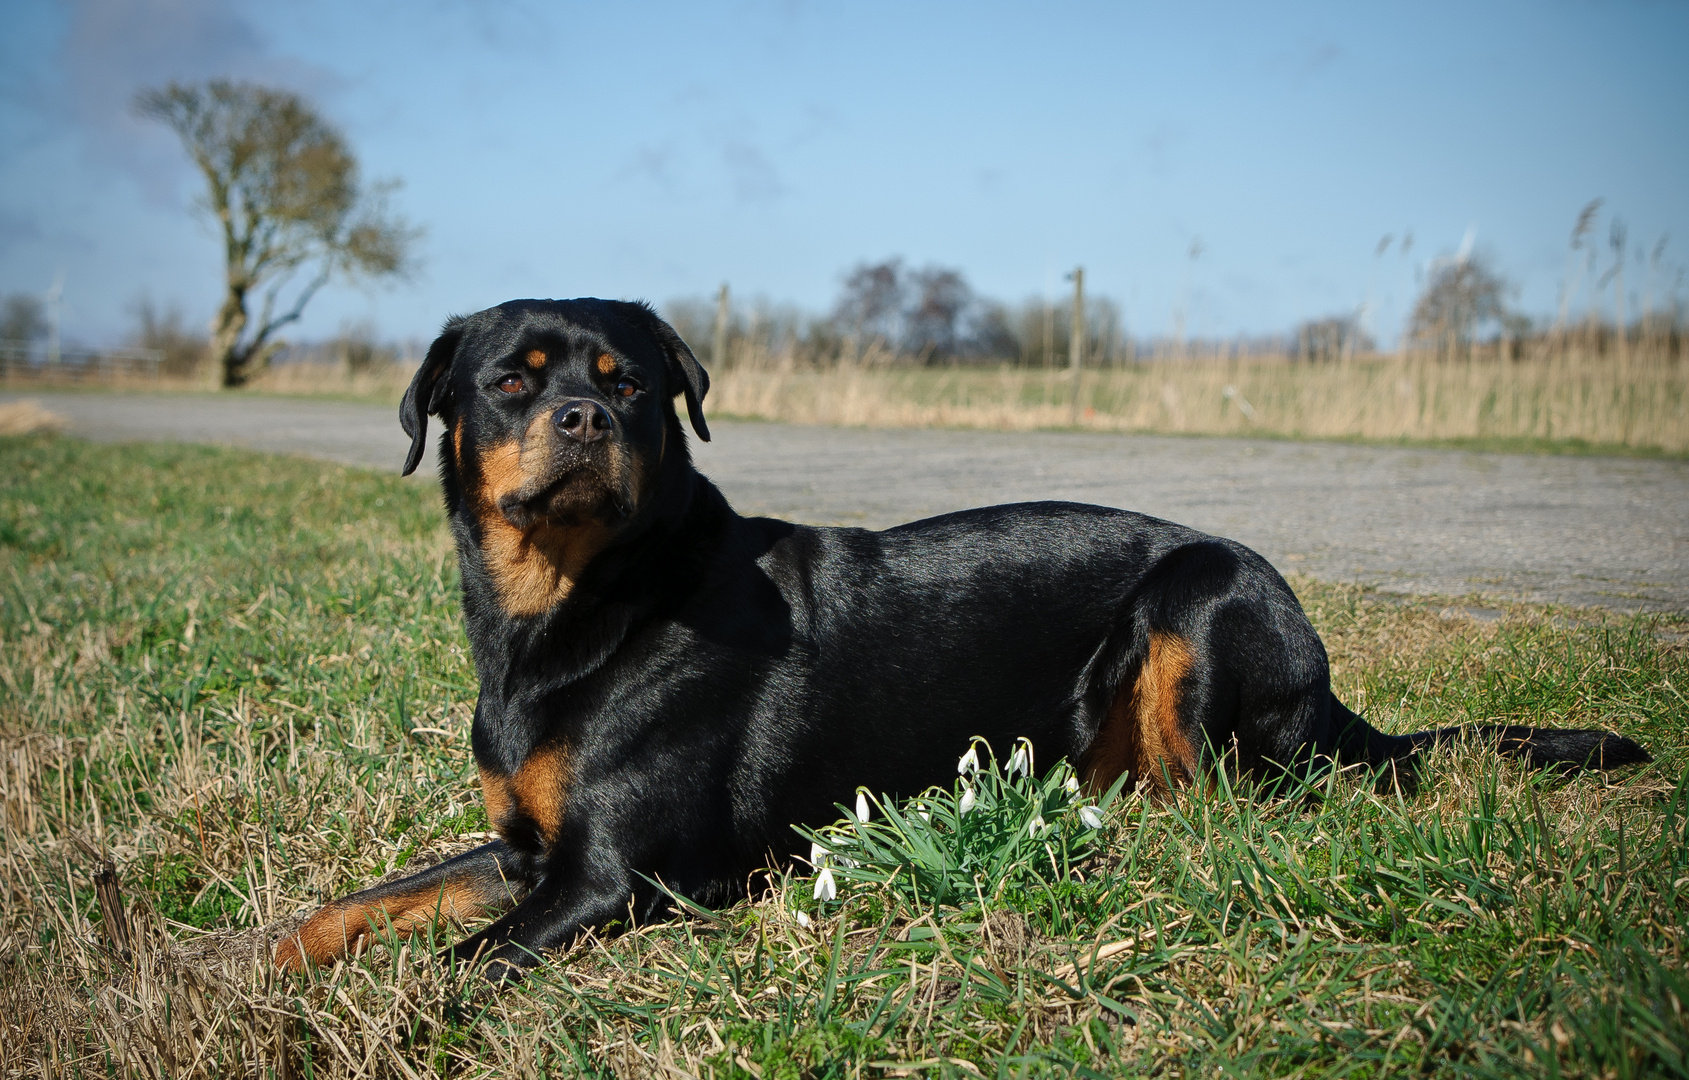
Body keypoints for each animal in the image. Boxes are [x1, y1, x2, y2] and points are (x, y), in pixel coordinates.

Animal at [273, 297, 1648, 980]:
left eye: (632, 385)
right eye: (513, 380)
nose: (583, 420)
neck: (574, 608)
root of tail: (1333, 688)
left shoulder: (612, 877)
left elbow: (447, 970)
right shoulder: (526, 851)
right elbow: (360, 906)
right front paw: (248, 965)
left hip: (1208, 590)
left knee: (1232, 802)